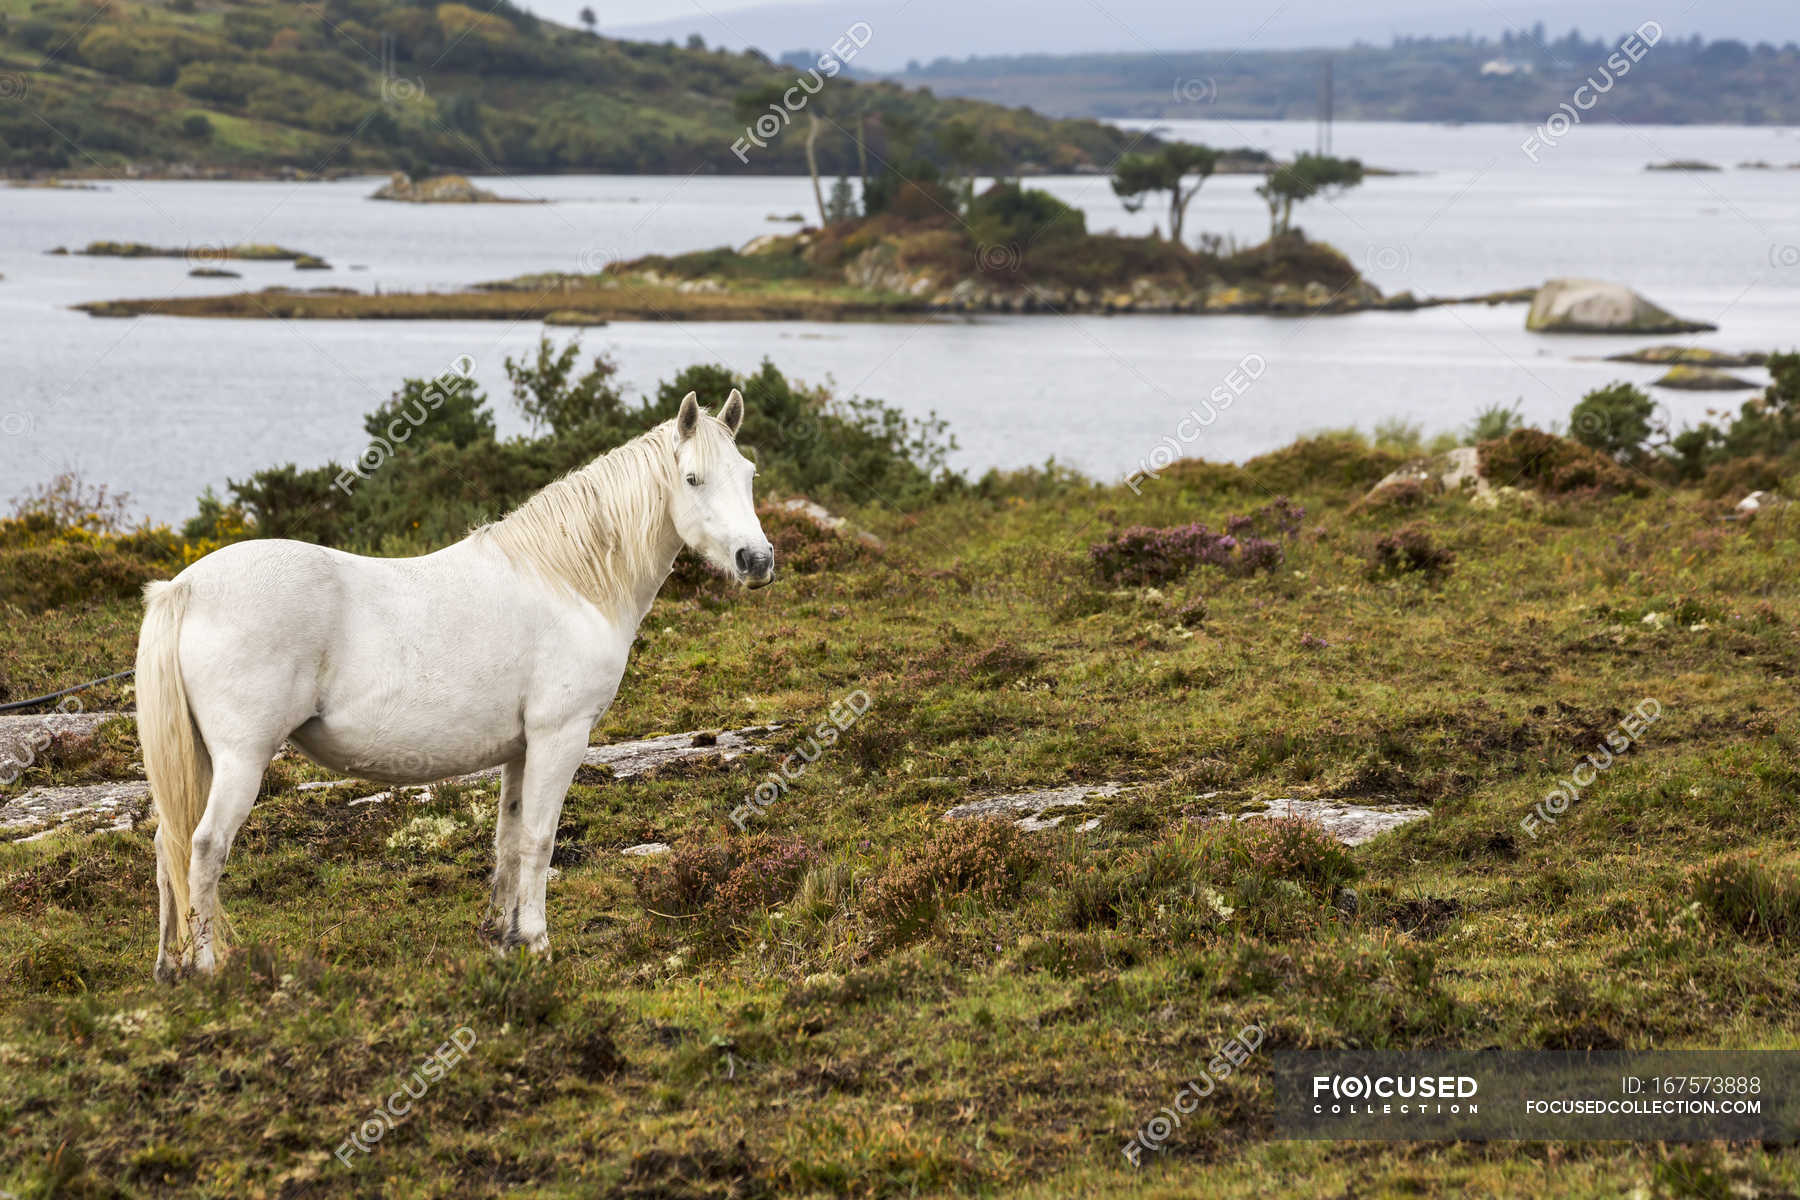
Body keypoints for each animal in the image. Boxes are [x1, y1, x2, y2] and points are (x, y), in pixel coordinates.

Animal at [131, 394, 766, 985]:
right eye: (692, 478)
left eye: (749, 474)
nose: (756, 560)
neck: (568, 582)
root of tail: (185, 588)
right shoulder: (560, 737)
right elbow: (539, 840)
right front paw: (538, 944)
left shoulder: (522, 749)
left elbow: (510, 839)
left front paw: (504, 939)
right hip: (241, 759)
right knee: (204, 847)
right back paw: (206, 968)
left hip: (202, 758)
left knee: (167, 846)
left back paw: (169, 967)